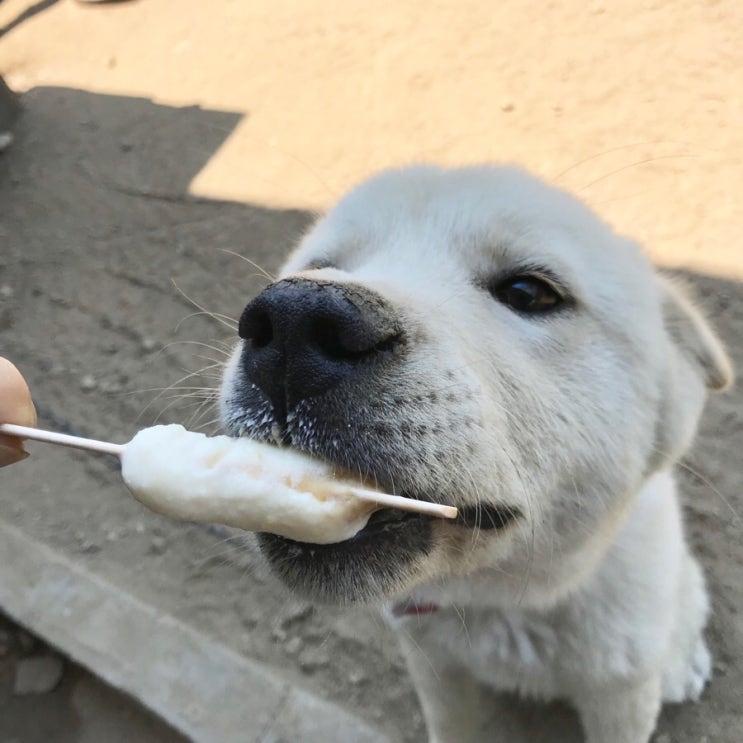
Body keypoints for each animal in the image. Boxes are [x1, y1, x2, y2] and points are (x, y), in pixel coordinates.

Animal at [219, 166, 732, 740]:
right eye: (319, 267)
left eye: (529, 292)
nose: (293, 322)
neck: (502, 605)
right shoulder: (438, 670)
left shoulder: (620, 695)